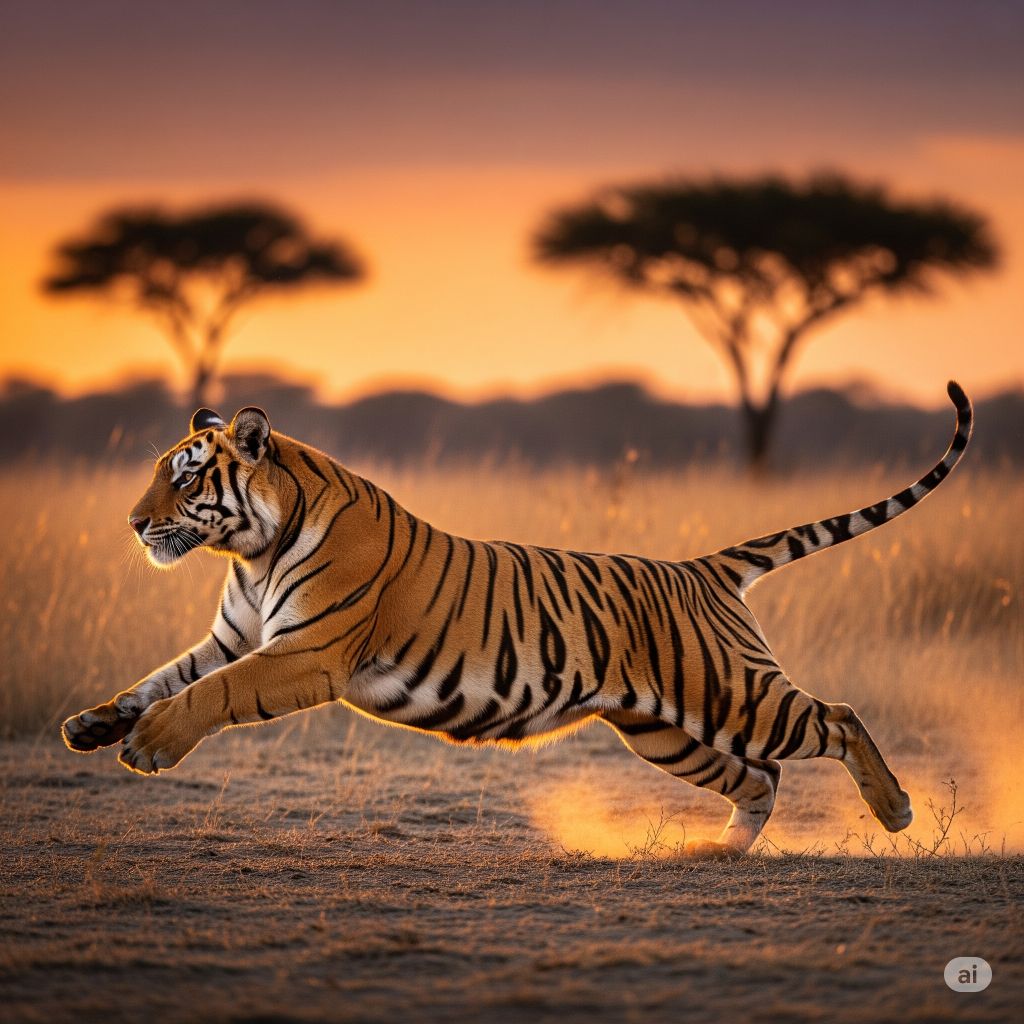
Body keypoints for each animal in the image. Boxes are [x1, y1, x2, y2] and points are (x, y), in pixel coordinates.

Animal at [62, 382, 973, 855]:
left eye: (184, 479)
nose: (133, 525)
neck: (250, 550)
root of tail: (701, 567)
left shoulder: (303, 652)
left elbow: (208, 694)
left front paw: (149, 745)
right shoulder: (233, 636)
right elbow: (162, 678)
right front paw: (94, 723)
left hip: (731, 696)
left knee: (835, 718)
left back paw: (896, 811)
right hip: (661, 731)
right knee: (761, 777)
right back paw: (720, 850)